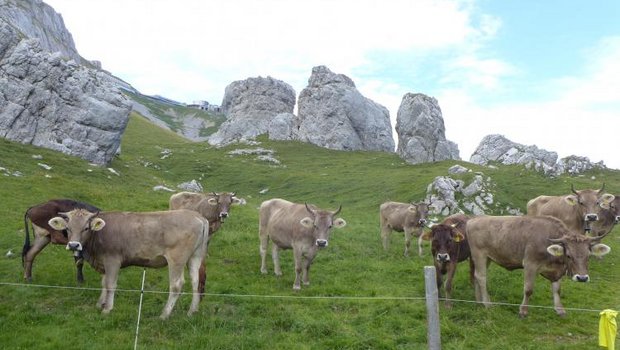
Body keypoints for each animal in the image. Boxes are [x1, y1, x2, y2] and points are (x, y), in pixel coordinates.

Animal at [46, 209, 211, 318]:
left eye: (86, 228)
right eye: (67, 228)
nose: (74, 245)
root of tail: (197, 216)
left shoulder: (112, 260)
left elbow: (111, 285)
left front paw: (107, 309)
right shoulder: (104, 262)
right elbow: (104, 283)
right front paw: (100, 304)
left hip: (177, 258)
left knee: (176, 285)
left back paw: (164, 314)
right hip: (195, 256)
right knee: (196, 282)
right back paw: (192, 311)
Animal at [468, 215, 608, 318]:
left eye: (588, 256)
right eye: (568, 255)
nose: (582, 278)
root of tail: (474, 219)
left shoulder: (557, 272)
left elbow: (557, 290)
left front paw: (560, 309)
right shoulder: (530, 264)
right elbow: (528, 290)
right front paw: (523, 311)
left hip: (487, 258)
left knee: (476, 276)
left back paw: (478, 301)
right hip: (479, 254)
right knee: (481, 277)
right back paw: (487, 304)